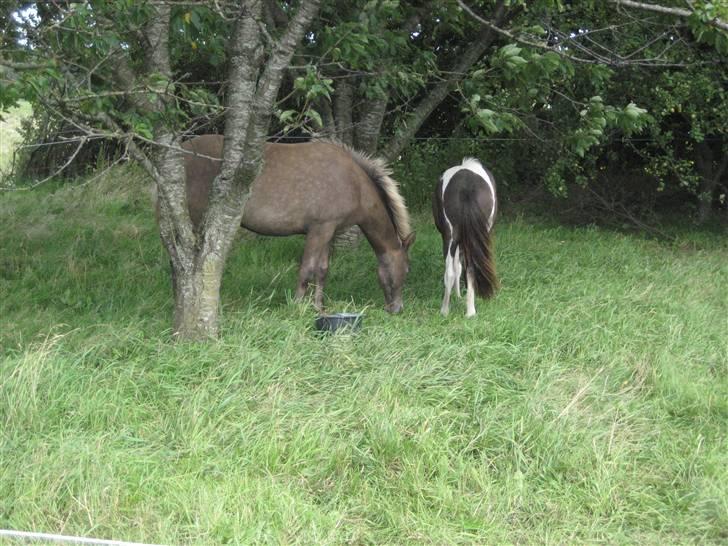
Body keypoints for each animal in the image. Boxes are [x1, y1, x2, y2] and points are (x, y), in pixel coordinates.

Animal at [182, 134, 416, 312]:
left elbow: (321, 270)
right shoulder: (319, 230)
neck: (354, 184)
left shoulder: (328, 231)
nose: (397, 308)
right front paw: (297, 306)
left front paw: (318, 307)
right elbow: (306, 269)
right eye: (406, 270)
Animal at [436, 157, 498, 316]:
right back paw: (468, 311)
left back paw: (447, 310)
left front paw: (457, 296)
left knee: (452, 270)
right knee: (466, 269)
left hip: (450, 237)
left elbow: (457, 267)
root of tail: (466, 186)